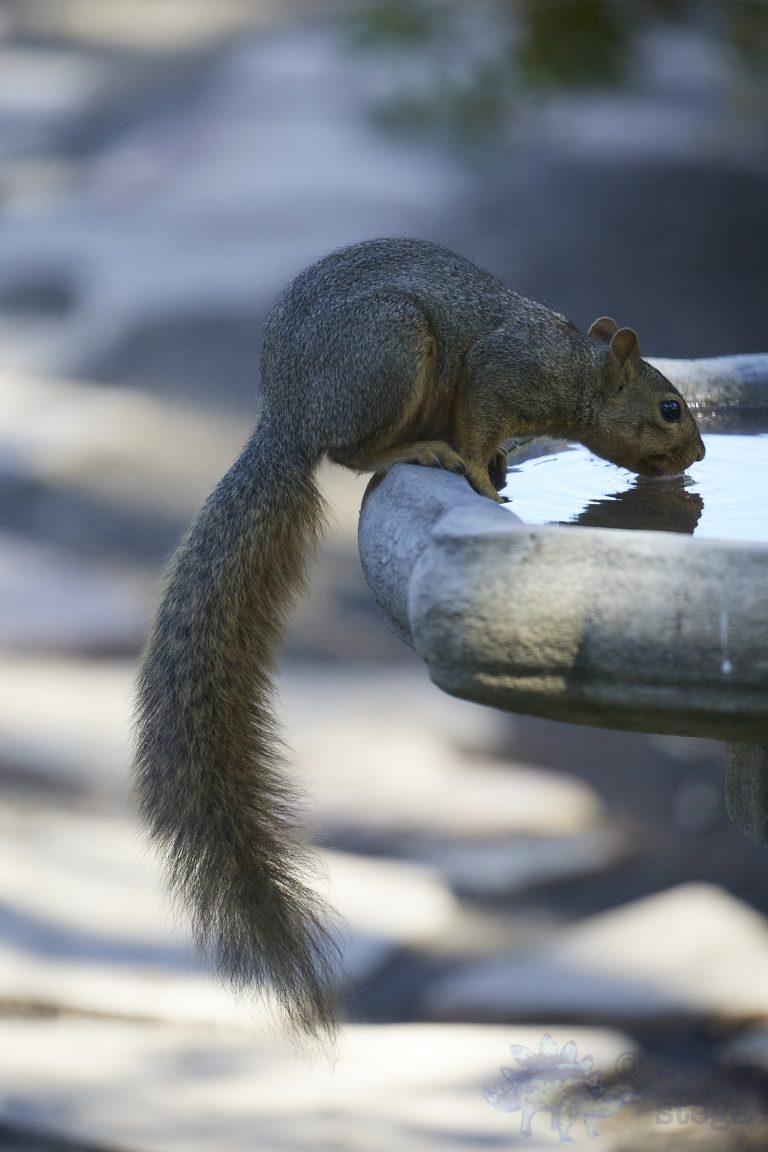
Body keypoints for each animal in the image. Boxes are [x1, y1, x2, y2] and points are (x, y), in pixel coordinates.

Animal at [134, 237, 705, 1041]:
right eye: (669, 408)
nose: (701, 457)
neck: (571, 367)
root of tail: (287, 414)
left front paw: (498, 470)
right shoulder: (501, 376)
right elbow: (479, 426)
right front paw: (484, 482)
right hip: (390, 350)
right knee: (352, 453)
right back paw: (419, 452)